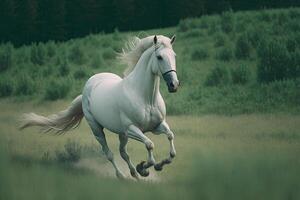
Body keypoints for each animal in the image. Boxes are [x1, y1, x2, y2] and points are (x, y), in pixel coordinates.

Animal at [21, 34, 180, 180]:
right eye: (159, 57)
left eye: (174, 56)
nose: (174, 85)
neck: (145, 98)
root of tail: (89, 86)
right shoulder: (132, 129)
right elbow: (149, 145)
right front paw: (144, 168)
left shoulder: (156, 126)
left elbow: (171, 141)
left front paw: (157, 166)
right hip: (98, 129)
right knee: (109, 153)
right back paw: (122, 175)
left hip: (121, 134)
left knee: (123, 153)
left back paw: (134, 174)